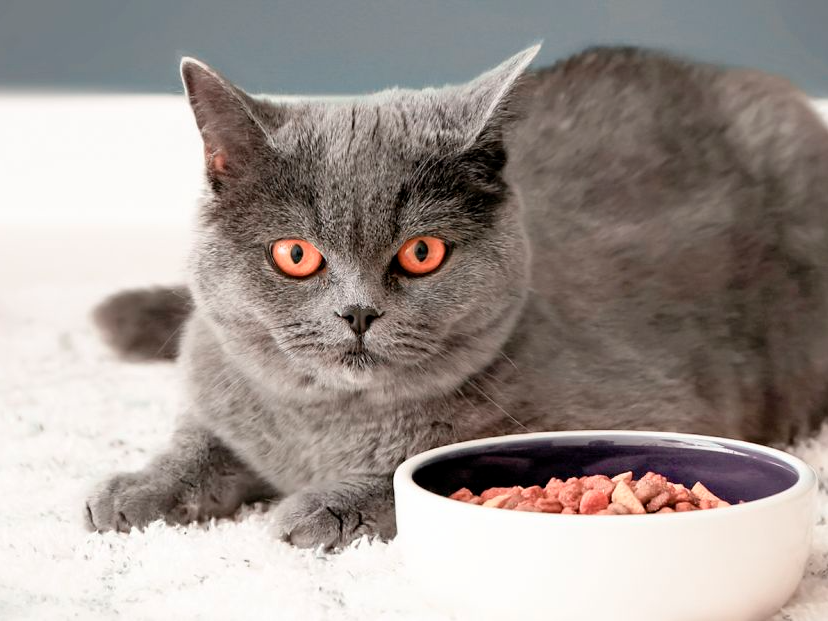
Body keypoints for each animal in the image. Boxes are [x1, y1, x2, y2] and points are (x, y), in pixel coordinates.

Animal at [82, 44, 828, 548]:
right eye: (296, 255)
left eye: (422, 253)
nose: (357, 313)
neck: (325, 425)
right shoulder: (218, 374)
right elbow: (200, 440)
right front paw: (135, 489)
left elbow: (418, 467)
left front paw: (322, 508)